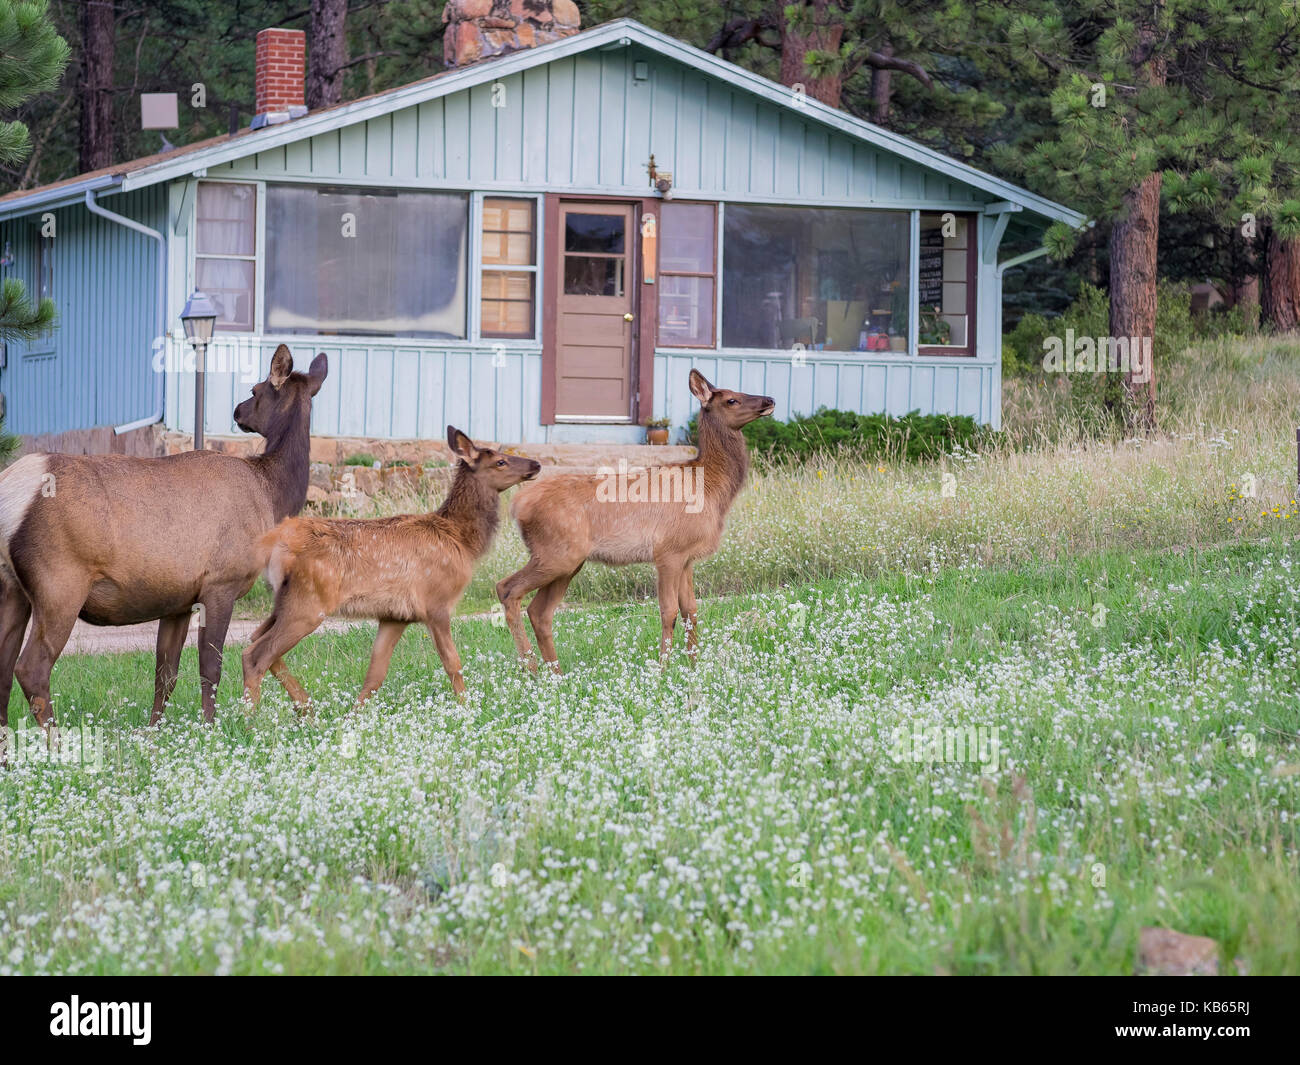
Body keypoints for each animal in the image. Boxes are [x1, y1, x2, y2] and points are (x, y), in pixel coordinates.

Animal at [0, 343, 325, 733]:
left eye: (254, 391)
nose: (237, 410)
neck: (270, 494)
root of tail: (12, 490)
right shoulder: (221, 582)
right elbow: (210, 667)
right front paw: (211, 729)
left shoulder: (179, 600)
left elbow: (166, 674)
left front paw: (155, 733)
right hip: (59, 581)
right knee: (31, 668)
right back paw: (57, 741)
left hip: (12, 586)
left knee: (3, 668)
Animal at [241, 423, 540, 707]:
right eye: (500, 461)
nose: (536, 464)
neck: (461, 540)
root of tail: (273, 544)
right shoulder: (436, 602)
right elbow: (453, 664)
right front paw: (466, 708)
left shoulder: (395, 615)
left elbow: (375, 675)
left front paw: (352, 717)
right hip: (309, 601)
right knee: (256, 655)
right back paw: (251, 718)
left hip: (285, 600)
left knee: (254, 640)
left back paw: (305, 709)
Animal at [491, 371, 764, 670]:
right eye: (732, 399)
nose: (769, 400)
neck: (709, 487)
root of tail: (517, 504)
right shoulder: (668, 551)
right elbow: (669, 611)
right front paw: (663, 669)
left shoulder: (687, 556)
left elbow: (691, 611)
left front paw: (693, 667)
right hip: (556, 554)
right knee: (507, 588)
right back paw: (532, 669)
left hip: (568, 561)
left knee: (539, 611)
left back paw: (555, 673)